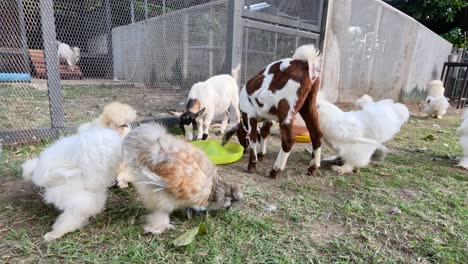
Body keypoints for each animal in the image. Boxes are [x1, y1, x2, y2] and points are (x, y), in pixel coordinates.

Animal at [223, 44, 322, 178]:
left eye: (239, 135)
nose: (243, 149)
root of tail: (305, 63)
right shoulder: (269, 117)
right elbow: (264, 132)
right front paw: (261, 154)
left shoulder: (250, 114)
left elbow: (253, 136)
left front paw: (252, 165)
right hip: (309, 105)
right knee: (316, 134)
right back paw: (312, 168)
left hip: (286, 108)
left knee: (288, 140)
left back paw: (275, 170)